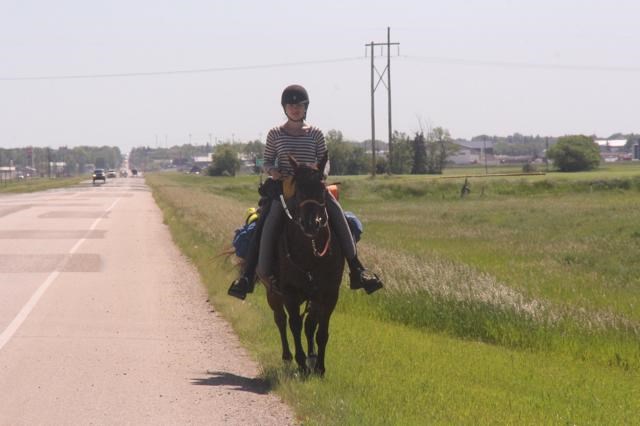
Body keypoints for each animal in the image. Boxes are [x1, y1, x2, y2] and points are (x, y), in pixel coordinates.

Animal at [264, 154, 344, 376]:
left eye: (322, 186)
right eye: (297, 187)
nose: (311, 224)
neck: (310, 250)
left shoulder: (328, 294)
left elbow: (320, 330)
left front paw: (319, 367)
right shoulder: (289, 292)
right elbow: (294, 324)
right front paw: (301, 362)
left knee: (309, 324)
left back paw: (312, 356)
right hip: (273, 293)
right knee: (280, 319)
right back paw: (288, 356)